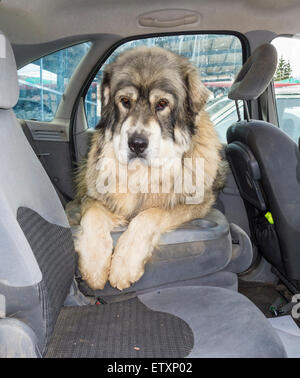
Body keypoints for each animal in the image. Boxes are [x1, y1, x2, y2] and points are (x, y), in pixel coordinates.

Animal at [74, 45, 226, 290]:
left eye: (162, 104)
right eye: (125, 101)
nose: (136, 143)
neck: (141, 173)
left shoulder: (196, 202)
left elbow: (150, 214)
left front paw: (124, 264)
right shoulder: (89, 197)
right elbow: (93, 215)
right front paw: (94, 265)